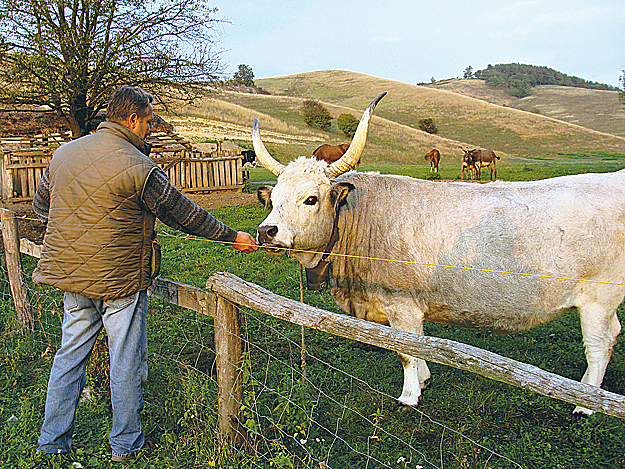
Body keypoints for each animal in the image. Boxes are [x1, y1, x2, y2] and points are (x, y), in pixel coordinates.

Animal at [254, 93, 624, 414]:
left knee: (599, 345)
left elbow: (406, 351)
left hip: (599, 299)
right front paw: (424, 378)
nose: (266, 231)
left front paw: (409, 396)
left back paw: (586, 404)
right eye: (273, 200)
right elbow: (418, 345)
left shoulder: (401, 304)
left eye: (311, 199)